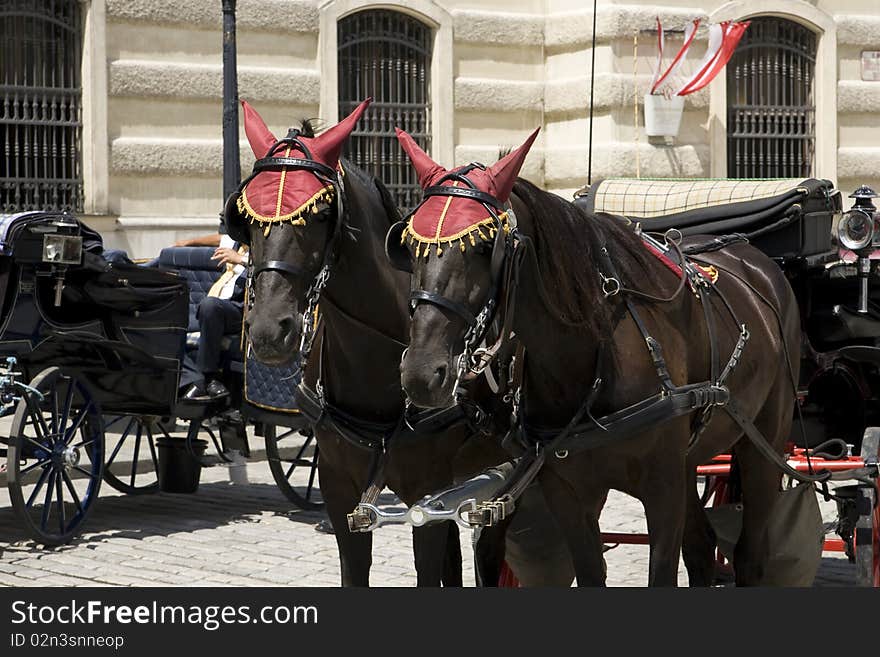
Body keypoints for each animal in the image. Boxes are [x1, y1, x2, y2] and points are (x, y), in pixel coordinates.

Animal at [227, 101, 572, 584]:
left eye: (319, 215)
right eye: (248, 221)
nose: (268, 331)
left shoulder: (428, 494)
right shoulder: (339, 487)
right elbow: (357, 570)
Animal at [396, 128, 808, 584]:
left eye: (485, 247)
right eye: (409, 247)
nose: (421, 373)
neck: (590, 359)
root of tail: (753, 259)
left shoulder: (662, 490)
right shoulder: (570, 492)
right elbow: (590, 571)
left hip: (763, 442)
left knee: (751, 553)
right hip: (689, 460)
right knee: (702, 547)